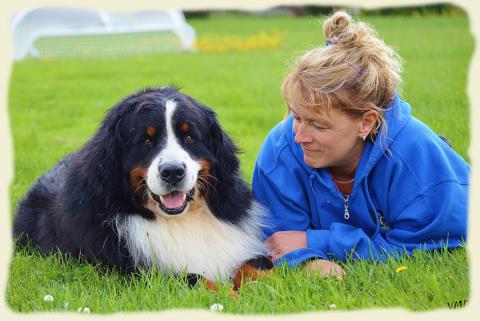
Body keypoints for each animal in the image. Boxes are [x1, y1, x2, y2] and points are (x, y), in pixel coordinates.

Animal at [11, 87, 272, 290]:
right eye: (146, 140)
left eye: (189, 137)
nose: (172, 172)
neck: (179, 220)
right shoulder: (140, 271)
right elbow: (196, 279)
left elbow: (257, 266)